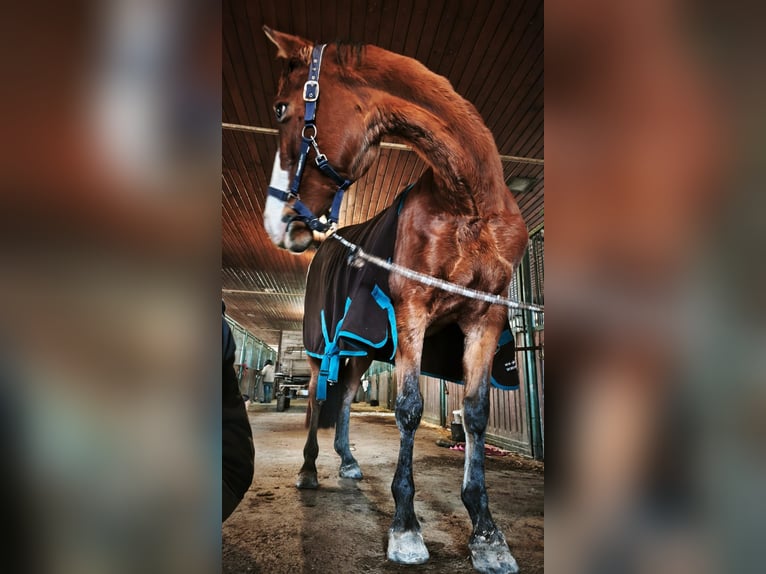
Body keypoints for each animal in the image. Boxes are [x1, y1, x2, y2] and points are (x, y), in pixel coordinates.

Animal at [262, 28, 529, 574]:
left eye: (281, 107)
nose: (277, 223)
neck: (469, 201)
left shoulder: (484, 318)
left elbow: (475, 414)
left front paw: (487, 533)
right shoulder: (412, 311)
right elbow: (407, 407)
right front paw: (406, 528)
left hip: (362, 350)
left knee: (343, 398)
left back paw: (347, 461)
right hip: (323, 344)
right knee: (315, 398)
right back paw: (309, 470)